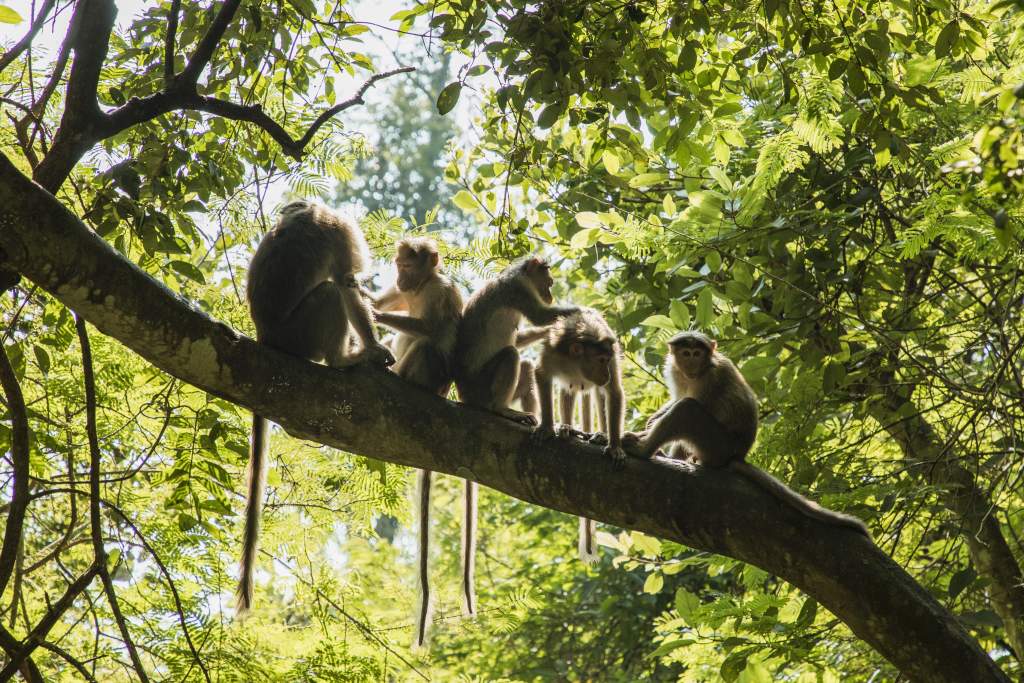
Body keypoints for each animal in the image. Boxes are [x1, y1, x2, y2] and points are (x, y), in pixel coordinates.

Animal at [239, 200, 395, 610]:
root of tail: (265, 337)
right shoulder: (341, 231)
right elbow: (346, 282)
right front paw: (374, 347)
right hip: (300, 335)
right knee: (329, 294)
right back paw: (344, 359)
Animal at [454, 254, 581, 614]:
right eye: (547, 280)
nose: (551, 292)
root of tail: (464, 397)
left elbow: (525, 333)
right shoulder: (516, 291)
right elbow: (540, 315)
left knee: (521, 363)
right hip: (482, 387)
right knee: (510, 357)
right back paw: (501, 410)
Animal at [532, 307, 626, 565]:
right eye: (600, 360)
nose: (605, 372)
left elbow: (614, 393)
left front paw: (614, 445)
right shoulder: (553, 353)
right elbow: (542, 375)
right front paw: (547, 426)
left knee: (600, 394)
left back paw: (602, 435)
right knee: (569, 388)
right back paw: (566, 427)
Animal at [618, 333, 868, 536]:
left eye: (697, 353)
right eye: (686, 353)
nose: (691, 362)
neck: (698, 372)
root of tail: (738, 454)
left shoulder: (712, 378)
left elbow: (694, 403)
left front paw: (646, 432)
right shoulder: (676, 371)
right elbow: (677, 398)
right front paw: (651, 421)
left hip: (717, 446)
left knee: (688, 410)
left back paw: (645, 450)